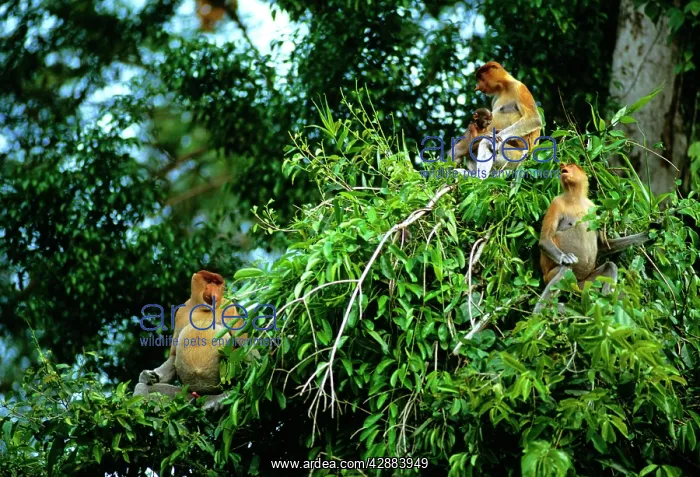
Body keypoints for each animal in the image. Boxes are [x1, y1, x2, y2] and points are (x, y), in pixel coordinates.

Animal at [134, 270, 246, 411]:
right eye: (209, 281)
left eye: (217, 283)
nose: (214, 291)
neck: (202, 308)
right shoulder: (181, 311)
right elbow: (173, 355)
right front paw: (147, 376)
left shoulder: (230, 307)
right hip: (186, 394)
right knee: (142, 387)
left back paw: (221, 399)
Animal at [534, 164, 653, 313]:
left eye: (570, 166)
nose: (562, 166)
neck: (575, 198)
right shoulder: (556, 203)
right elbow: (545, 239)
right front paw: (566, 257)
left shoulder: (593, 207)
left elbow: (603, 245)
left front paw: (649, 233)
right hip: (550, 276)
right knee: (566, 269)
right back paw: (541, 310)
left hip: (584, 284)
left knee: (610, 266)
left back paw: (607, 300)